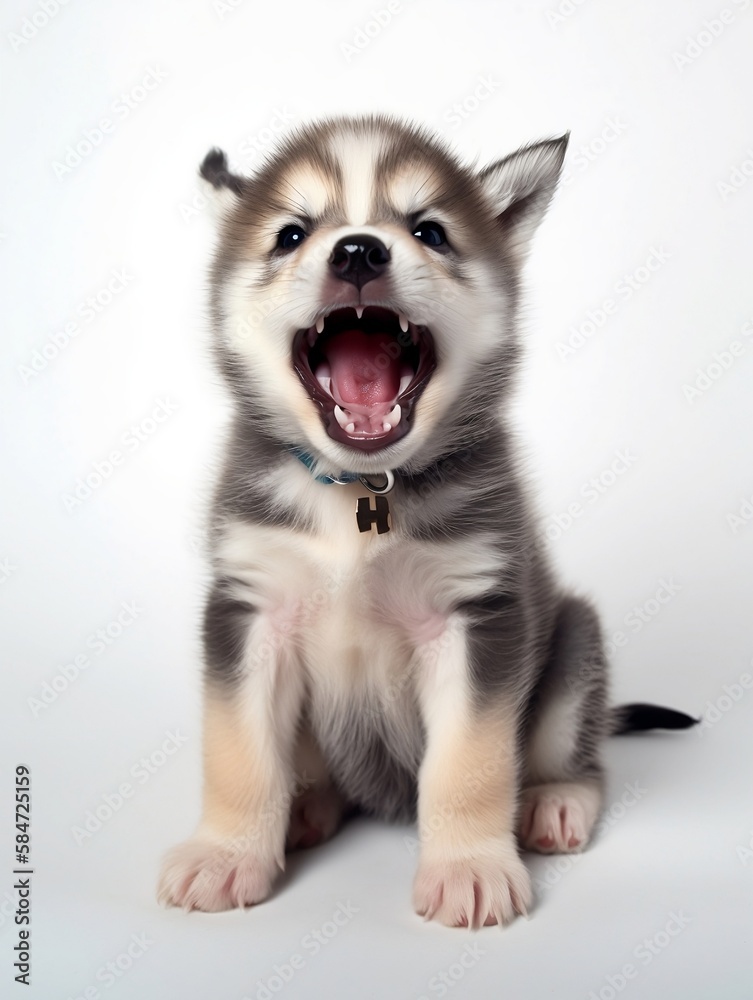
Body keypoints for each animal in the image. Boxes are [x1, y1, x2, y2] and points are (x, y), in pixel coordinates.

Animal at [157, 115, 695, 927]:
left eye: (429, 231)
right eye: (291, 234)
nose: (357, 249)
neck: (359, 494)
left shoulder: (475, 615)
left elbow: (468, 764)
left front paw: (469, 866)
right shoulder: (250, 609)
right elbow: (239, 754)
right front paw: (225, 853)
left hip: (573, 645)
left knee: (577, 756)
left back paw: (555, 800)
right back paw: (306, 806)